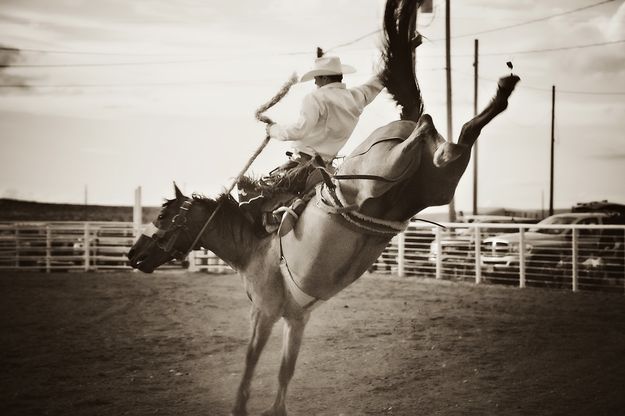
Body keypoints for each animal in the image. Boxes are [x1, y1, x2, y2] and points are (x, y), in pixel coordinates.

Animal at [125, 1, 516, 414]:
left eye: (163, 216)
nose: (133, 254)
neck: (253, 245)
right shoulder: (297, 318)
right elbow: (285, 370)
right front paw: (275, 408)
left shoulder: (264, 311)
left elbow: (250, 362)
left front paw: (240, 406)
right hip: (439, 182)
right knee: (460, 140)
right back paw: (502, 92)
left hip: (386, 171)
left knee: (425, 128)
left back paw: (438, 115)